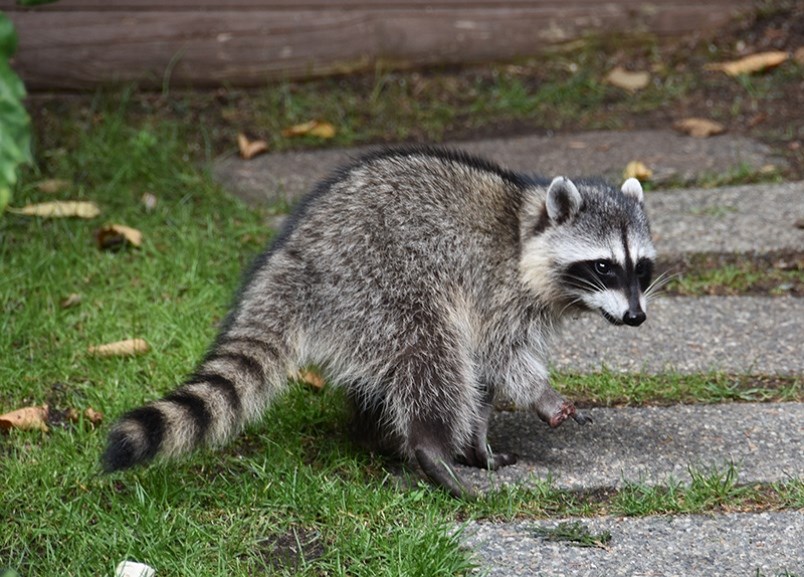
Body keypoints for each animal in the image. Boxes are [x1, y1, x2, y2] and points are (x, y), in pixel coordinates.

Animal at [102, 146, 652, 498]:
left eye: (641, 268)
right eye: (603, 266)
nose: (636, 316)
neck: (524, 229)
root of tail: (295, 256)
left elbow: (484, 380)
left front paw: (480, 443)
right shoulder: (492, 287)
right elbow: (498, 357)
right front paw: (543, 398)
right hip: (381, 282)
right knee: (431, 355)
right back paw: (431, 450)